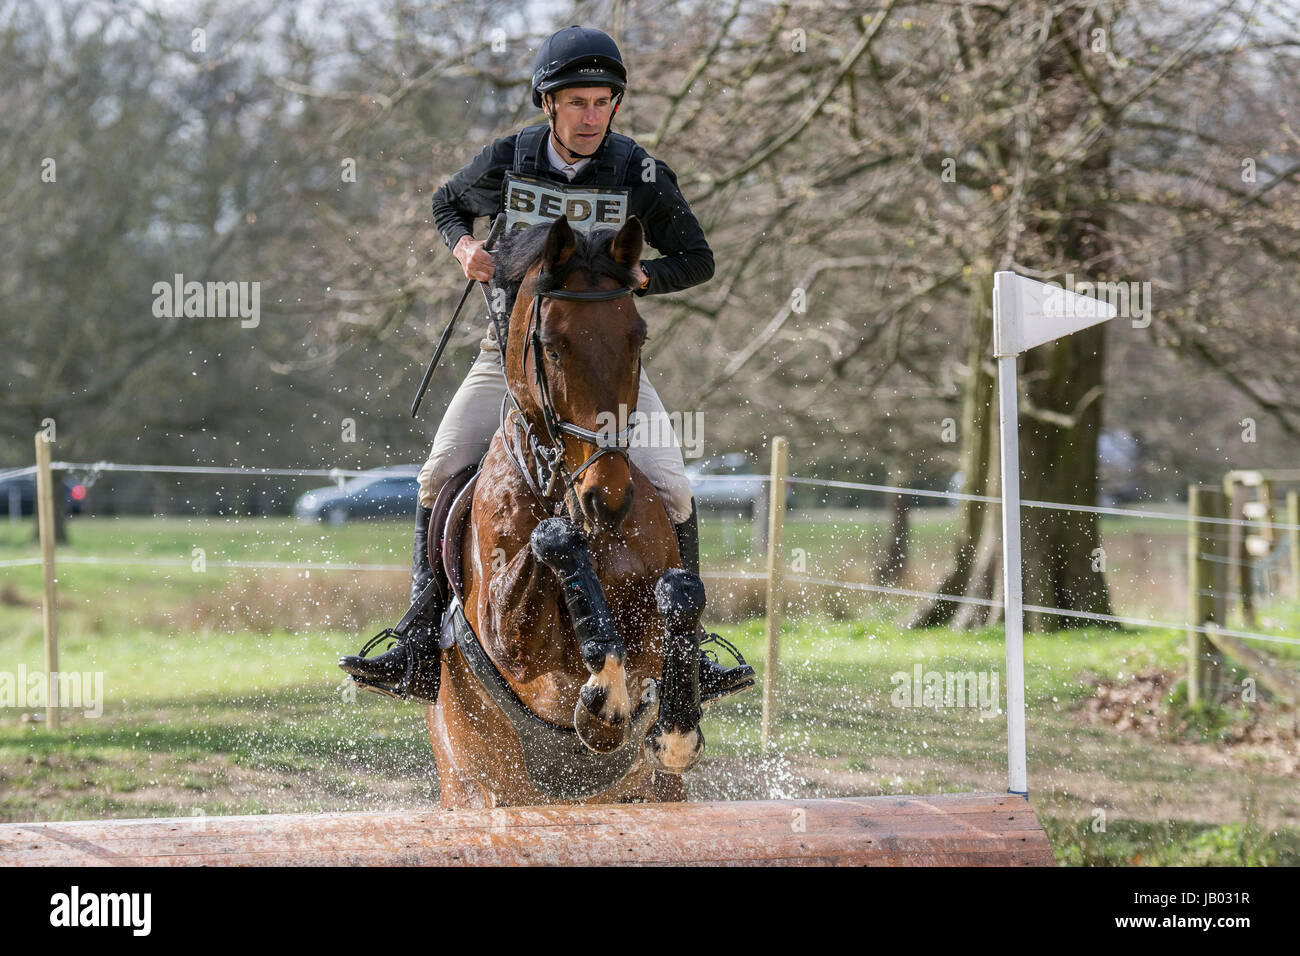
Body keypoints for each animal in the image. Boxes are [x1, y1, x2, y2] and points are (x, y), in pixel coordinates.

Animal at [426, 214, 707, 806]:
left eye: (637, 339)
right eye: (553, 347)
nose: (608, 498)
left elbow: (681, 592)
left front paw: (675, 733)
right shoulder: (508, 635)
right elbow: (553, 541)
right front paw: (604, 697)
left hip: (657, 795)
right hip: (471, 786)